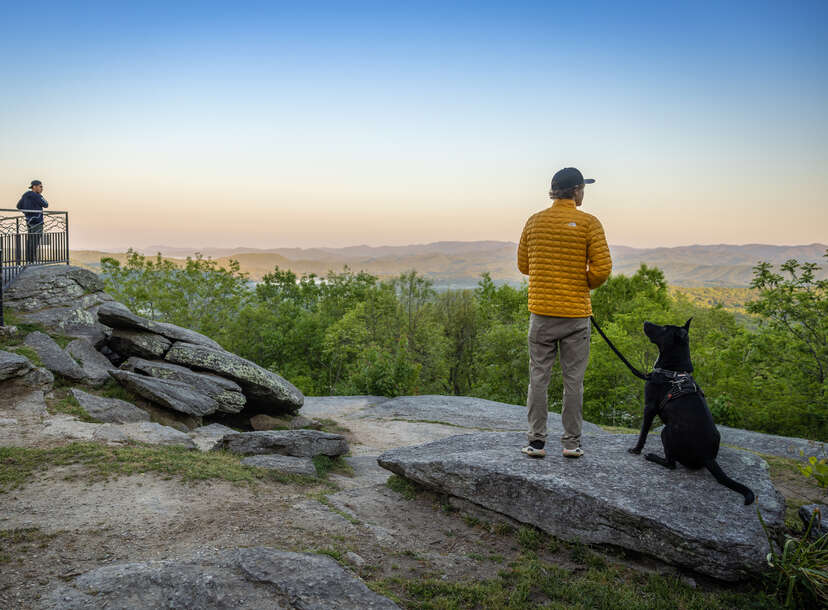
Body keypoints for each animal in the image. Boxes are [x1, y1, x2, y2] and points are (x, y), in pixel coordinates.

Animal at [632, 318, 752, 504]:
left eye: (664, 328)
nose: (645, 321)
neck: (673, 371)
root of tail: (708, 456)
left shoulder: (649, 407)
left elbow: (643, 433)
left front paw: (636, 450)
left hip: (666, 432)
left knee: (671, 464)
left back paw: (653, 457)